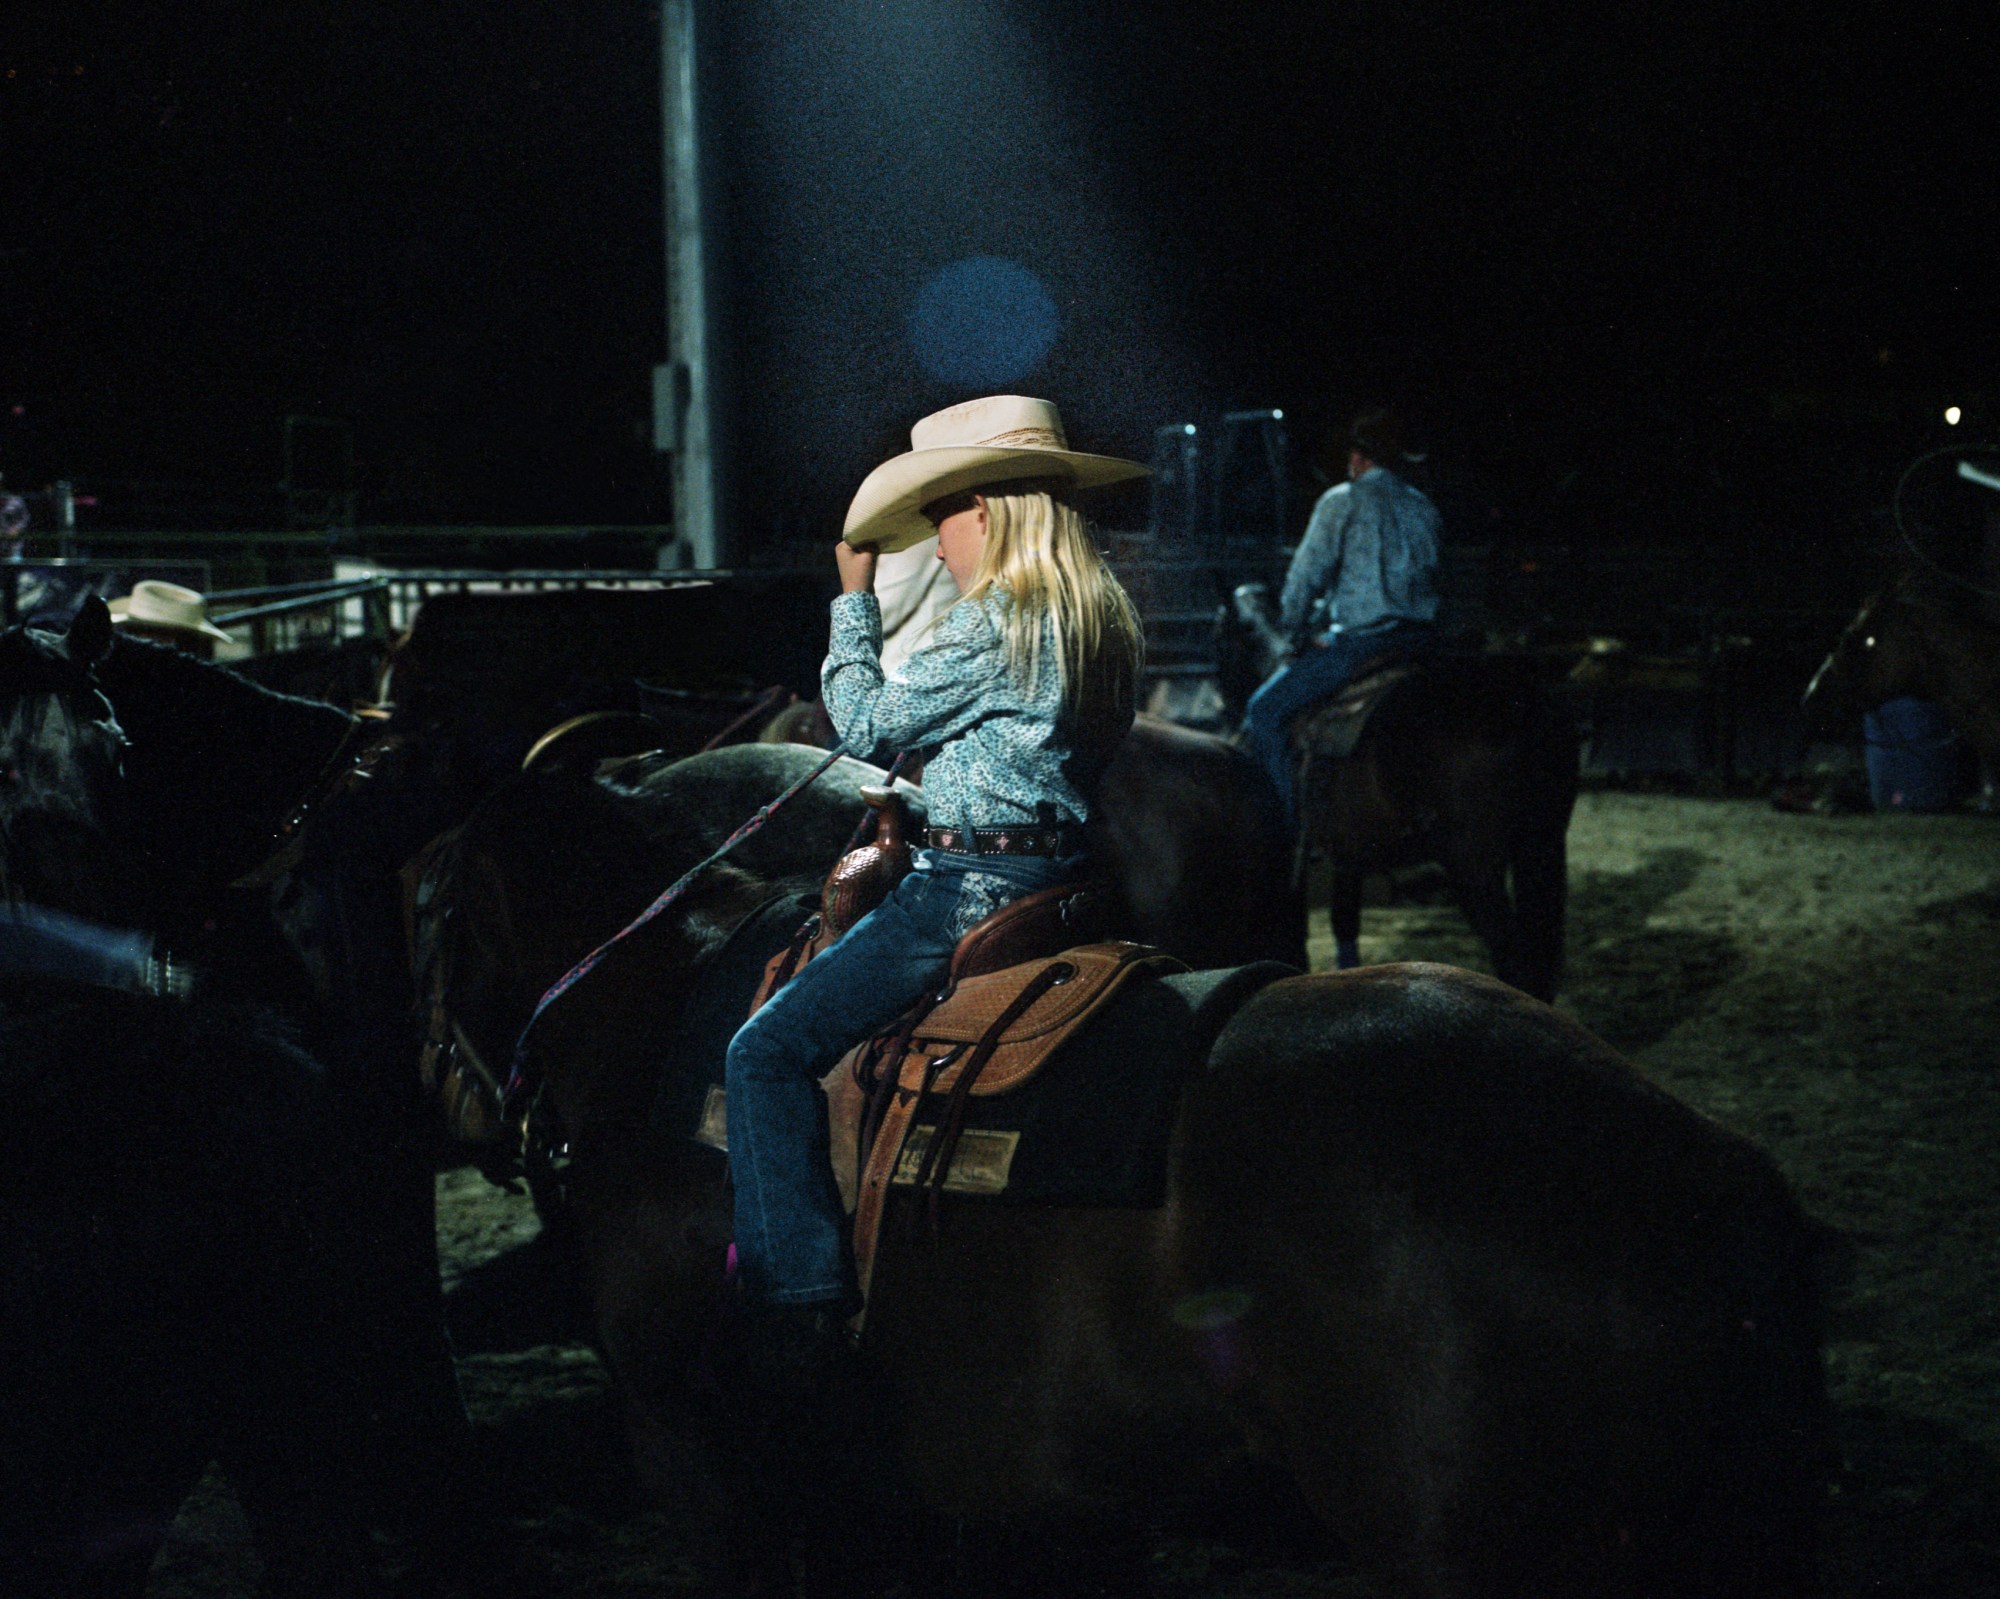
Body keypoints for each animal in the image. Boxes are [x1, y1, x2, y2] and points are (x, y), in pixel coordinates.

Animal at [1216, 579, 1576, 991]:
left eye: (1217, 633)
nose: (1221, 706)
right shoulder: (1349, 851)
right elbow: (1344, 919)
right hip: (1545, 843)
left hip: (1473, 861)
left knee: (1515, 961)